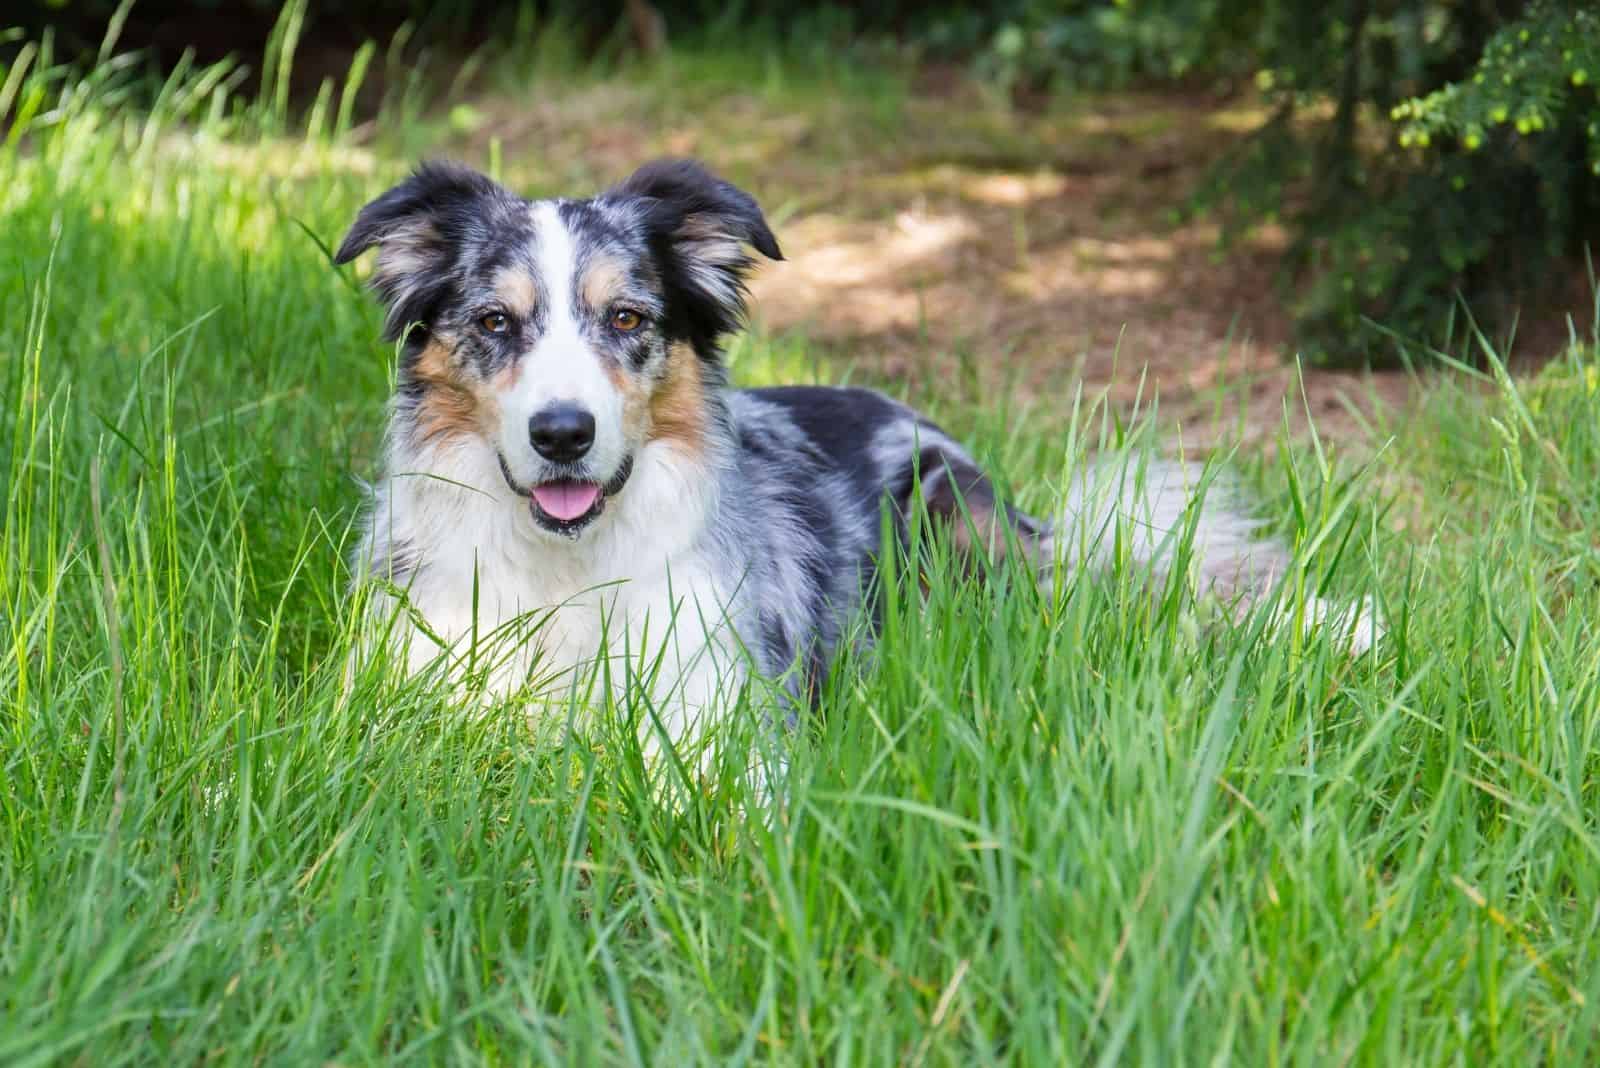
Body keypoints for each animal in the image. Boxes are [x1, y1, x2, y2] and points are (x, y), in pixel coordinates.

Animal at [334, 158, 1376, 757]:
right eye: (493, 322)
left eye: (627, 319)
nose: (562, 434)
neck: (565, 570)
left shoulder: (720, 711)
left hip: (959, 527)